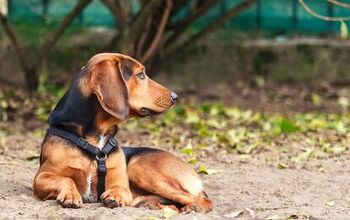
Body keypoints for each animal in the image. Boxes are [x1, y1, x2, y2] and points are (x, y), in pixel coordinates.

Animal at [33, 52, 213, 212]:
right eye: (141, 75)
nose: (175, 96)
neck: (95, 140)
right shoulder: (41, 178)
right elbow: (65, 179)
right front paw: (70, 195)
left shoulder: (121, 184)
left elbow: (119, 190)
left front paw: (114, 196)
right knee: (176, 205)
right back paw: (152, 205)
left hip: (138, 167)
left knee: (202, 200)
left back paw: (194, 207)